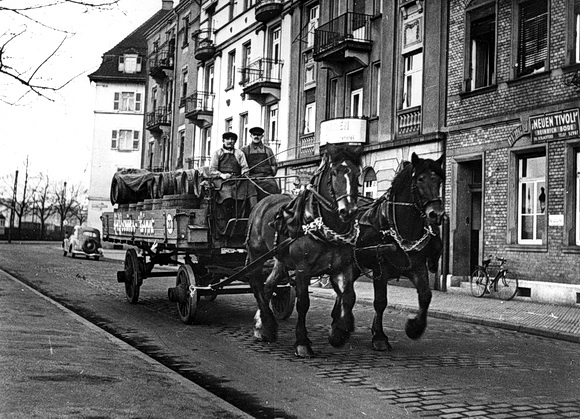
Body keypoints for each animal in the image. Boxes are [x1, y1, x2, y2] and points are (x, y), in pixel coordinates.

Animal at [245, 144, 362, 358]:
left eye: (357, 174)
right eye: (334, 173)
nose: (348, 211)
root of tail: (262, 202)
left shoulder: (343, 267)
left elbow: (349, 297)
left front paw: (338, 333)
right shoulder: (302, 269)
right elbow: (303, 303)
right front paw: (302, 342)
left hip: (280, 259)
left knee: (268, 285)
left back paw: (261, 325)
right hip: (256, 254)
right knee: (256, 285)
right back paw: (267, 326)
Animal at [354, 153, 444, 352]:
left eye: (439, 181)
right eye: (420, 179)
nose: (437, 214)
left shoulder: (417, 267)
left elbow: (425, 296)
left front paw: (414, 328)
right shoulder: (379, 269)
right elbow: (380, 302)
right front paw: (379, 337)